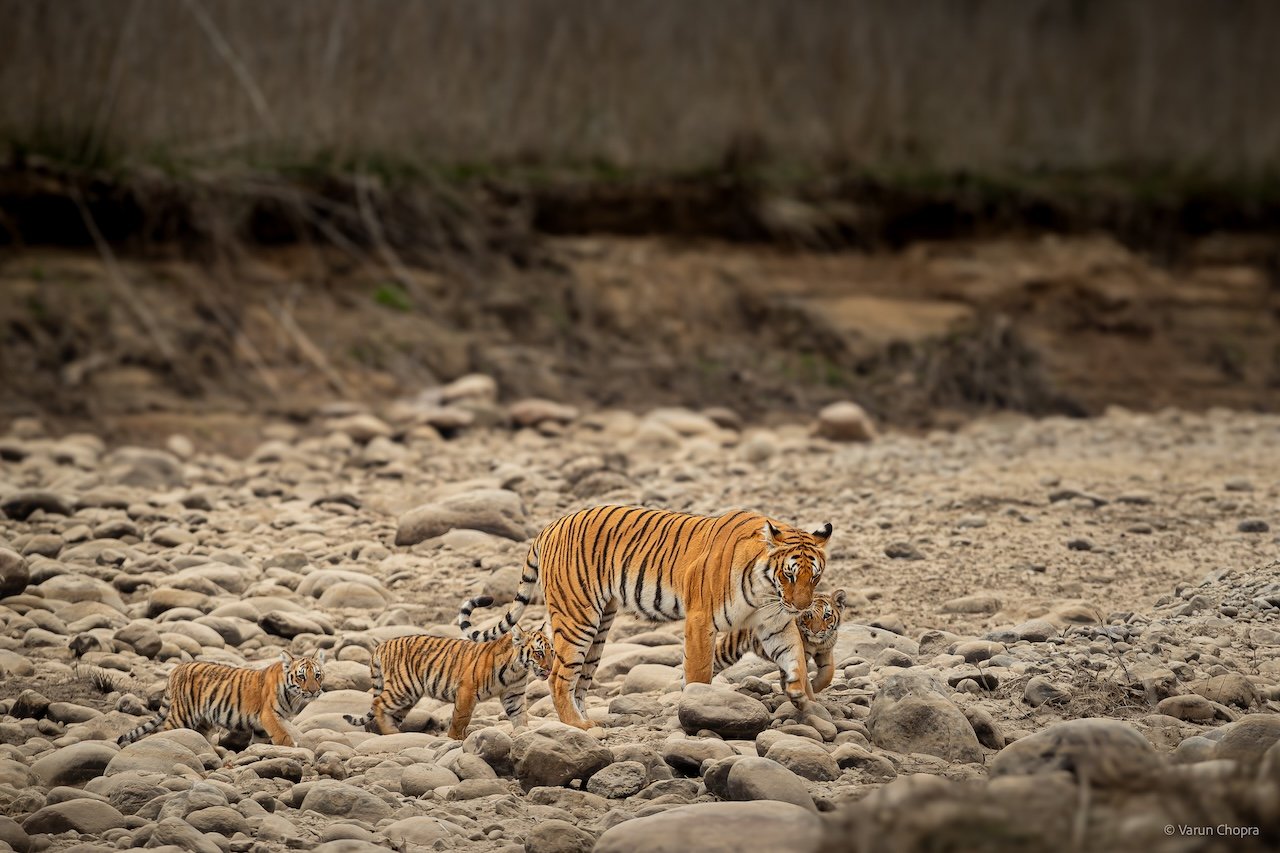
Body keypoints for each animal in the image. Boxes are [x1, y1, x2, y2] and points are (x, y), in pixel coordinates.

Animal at [117, 650, 325, 748]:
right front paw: (293, 749)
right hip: (182, 715)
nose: (314, 691)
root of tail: (177, 667)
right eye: (301, 676)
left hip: (203, 719)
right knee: (166, 732)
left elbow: (258, 743)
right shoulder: (269, 715)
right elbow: (283, 736)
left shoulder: (260, 726)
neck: (293, 696)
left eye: (317, 675)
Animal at [342, 624, 553, 740]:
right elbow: (461, 718)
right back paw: (392, 734)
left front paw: (523, 733)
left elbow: (519, 716)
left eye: (552, 652)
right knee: (378, 703)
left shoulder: (513, 695)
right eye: (538, 653)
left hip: (407, 697)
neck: (517, 670)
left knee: (389, 712)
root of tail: (382, 645)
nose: (550, 669)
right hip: (403, 688)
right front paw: (456, 739)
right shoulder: (467, 689)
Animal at [457, 505, 831, 730]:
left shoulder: (776, 623)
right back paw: (579, 727)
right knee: (558, 679)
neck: (765, 587)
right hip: (577, 618)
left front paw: (806, 701)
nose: (801, 607)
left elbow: (797, 660)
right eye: (789, 574)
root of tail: (549, 526)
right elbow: (699, 674)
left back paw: (589, 724)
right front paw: (699, 710)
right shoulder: (700, 620)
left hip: (599, 628)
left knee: (580, 682)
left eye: (814, 577)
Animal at [714, 589, 846, 698]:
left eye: (826, 616)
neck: (817, 644)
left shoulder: (826, 652)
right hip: (729, 650)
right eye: (808, 615)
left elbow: (828, 673)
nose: (815, 631)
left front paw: (815, 685)